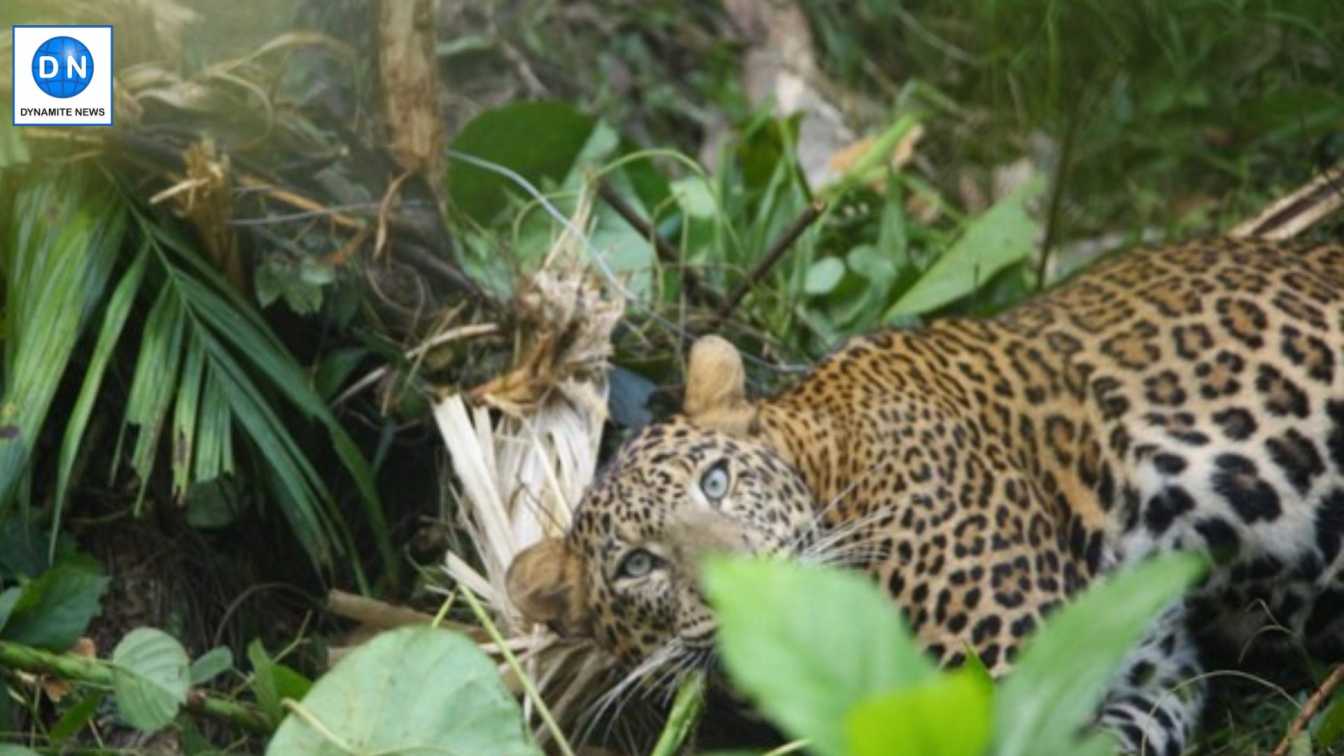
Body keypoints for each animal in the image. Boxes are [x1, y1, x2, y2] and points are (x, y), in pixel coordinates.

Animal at [505, 236, 1344, 753]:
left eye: (716, 480)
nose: (739, 579)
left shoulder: (1002, 671)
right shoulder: (1146, 682)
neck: (830, 463)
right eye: (637, 566)